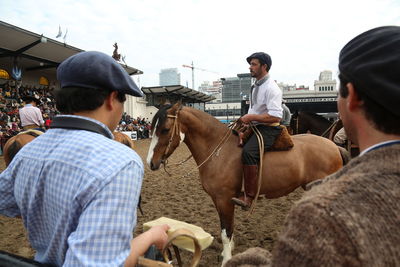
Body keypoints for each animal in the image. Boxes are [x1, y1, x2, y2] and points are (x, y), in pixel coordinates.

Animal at [148, 103, 350, 266]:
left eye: (165, 129)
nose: (151, 162)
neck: (218, 150)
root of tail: (335, 147)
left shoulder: (224, 199)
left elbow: (226, 231)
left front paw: (227, 259)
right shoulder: (219, 200)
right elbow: (228, 228)